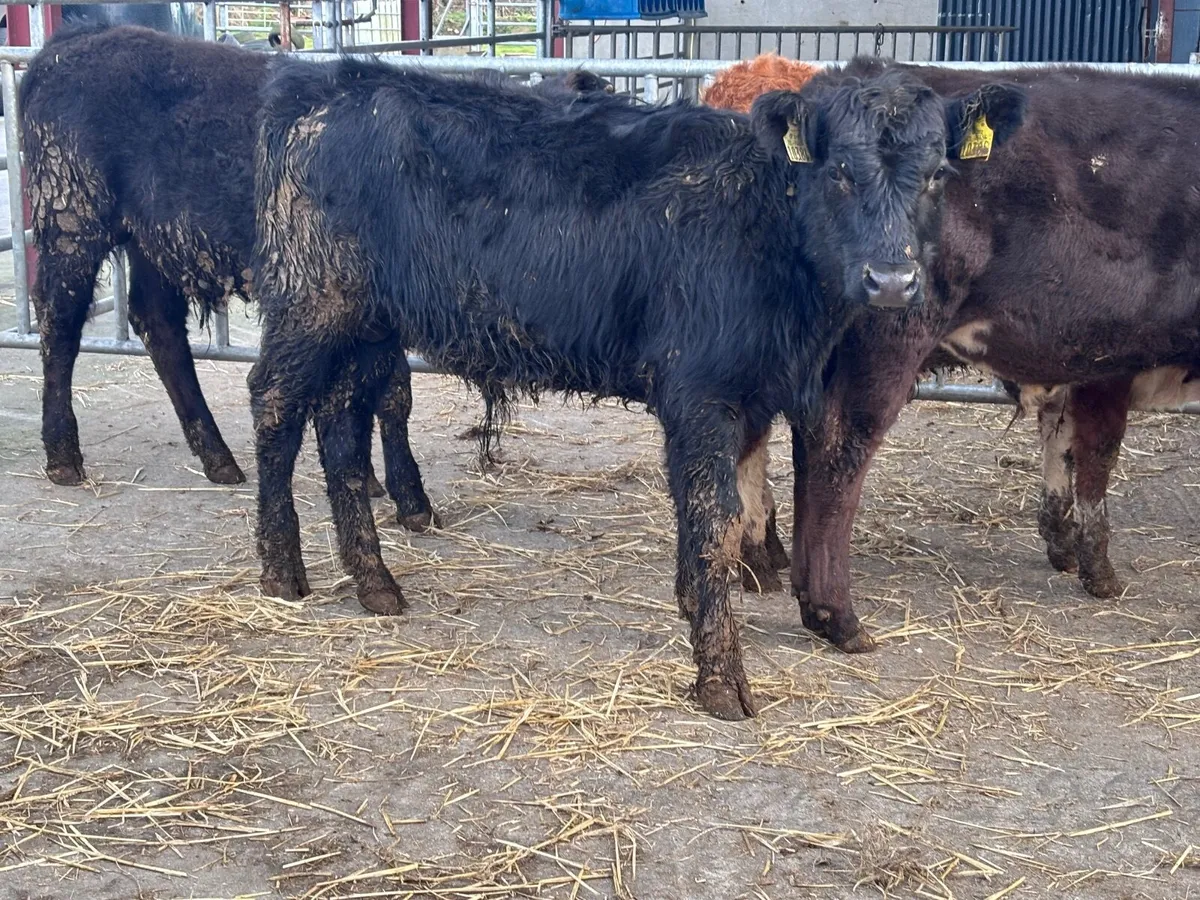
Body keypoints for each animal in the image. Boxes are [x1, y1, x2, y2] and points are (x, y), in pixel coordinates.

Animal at [19, 24, 607, 531]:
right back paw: (64, 456)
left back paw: (218, 457)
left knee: (157, 325)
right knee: (60, 323)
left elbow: (383, 392)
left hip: (153, 239)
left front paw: (376, 483)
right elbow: (390, 392)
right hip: (72, 215)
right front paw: (408, 498)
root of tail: (76, 39)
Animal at [248, 56, 1024, 718]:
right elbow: (714, 522)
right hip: (313, 304)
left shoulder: (751, 395)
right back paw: (282, 571)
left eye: (936, 173)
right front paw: (721, 678)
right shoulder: (700, 393)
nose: (891, 280)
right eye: (838, 171)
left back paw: (375, 582)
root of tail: (325, 82)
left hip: (367, 326)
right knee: (275, 406)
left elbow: (738, 511)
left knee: (342, 429)